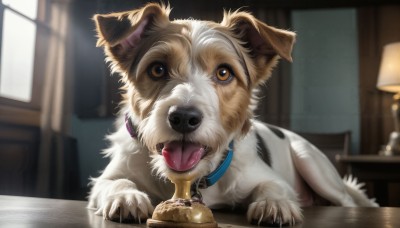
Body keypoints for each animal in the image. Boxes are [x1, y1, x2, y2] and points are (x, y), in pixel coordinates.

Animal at [87, 2, 378, 225]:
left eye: (224, 72)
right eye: (157, 69)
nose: (183, 118)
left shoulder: (272, 178)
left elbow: (272, 187)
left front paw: (275, 204)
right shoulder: (106, 179)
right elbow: (115, 182)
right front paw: (126, 196)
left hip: (314, 166)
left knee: (348, 200)